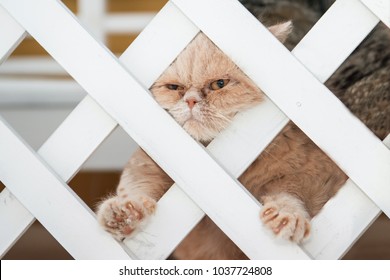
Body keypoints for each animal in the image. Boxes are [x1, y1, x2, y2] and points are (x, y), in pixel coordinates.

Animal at [96, 20, 348, 260]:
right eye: (174, 88)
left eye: (219, 84)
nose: (190, 101)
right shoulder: (145, 165)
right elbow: (137, 189)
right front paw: (123, 214)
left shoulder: (315, 175)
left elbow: (290, 193)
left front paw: (286, 215)